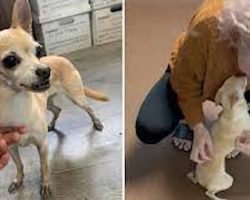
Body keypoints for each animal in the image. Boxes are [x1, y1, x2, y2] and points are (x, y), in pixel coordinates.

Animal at [0, 0, 108, 198]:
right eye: (10, 60)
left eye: (38, 50)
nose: (45, 71)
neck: (14, 102)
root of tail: (63, 58)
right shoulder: (11, 148)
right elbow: (19, 165)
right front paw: (18, 180)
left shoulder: (42, 146)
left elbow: (44, 167)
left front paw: (45, 185)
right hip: (48, 103)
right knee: (58, 109)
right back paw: (51, 124)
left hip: (76, 97)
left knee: (89, 108)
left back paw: (96, 122)